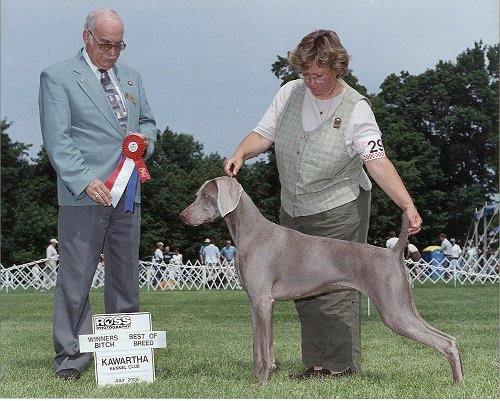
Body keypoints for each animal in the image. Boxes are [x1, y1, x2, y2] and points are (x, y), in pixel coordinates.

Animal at [179, 176, 460, 384]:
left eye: (206, 196)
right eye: (198, 195)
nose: (182, 216)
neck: (251, 232)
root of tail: (393, 252)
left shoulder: (264, 302)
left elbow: (266, 349)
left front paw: (263, 383)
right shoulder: (254, 304)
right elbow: (257, 348)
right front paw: (253, 380)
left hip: (394, 310)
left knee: (444, 342)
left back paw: (457, 383)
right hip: (404, 304)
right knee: (450, 339)